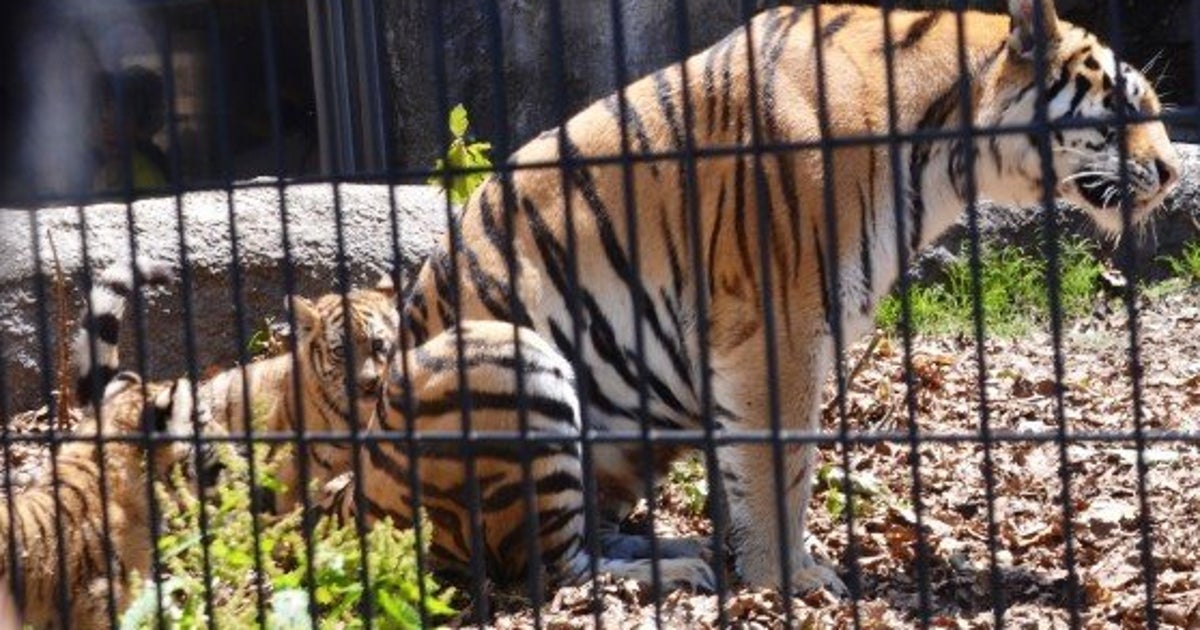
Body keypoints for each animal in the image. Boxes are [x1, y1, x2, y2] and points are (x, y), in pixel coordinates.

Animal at [391, 0, 1171, 595]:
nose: (1170, 172)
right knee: (543, 568)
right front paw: (787, 580)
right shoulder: (778, 324)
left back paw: (678, 548)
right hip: (511, 358)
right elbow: (781, 464)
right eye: (1123, 108)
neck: (947, 151)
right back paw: (668, 572)